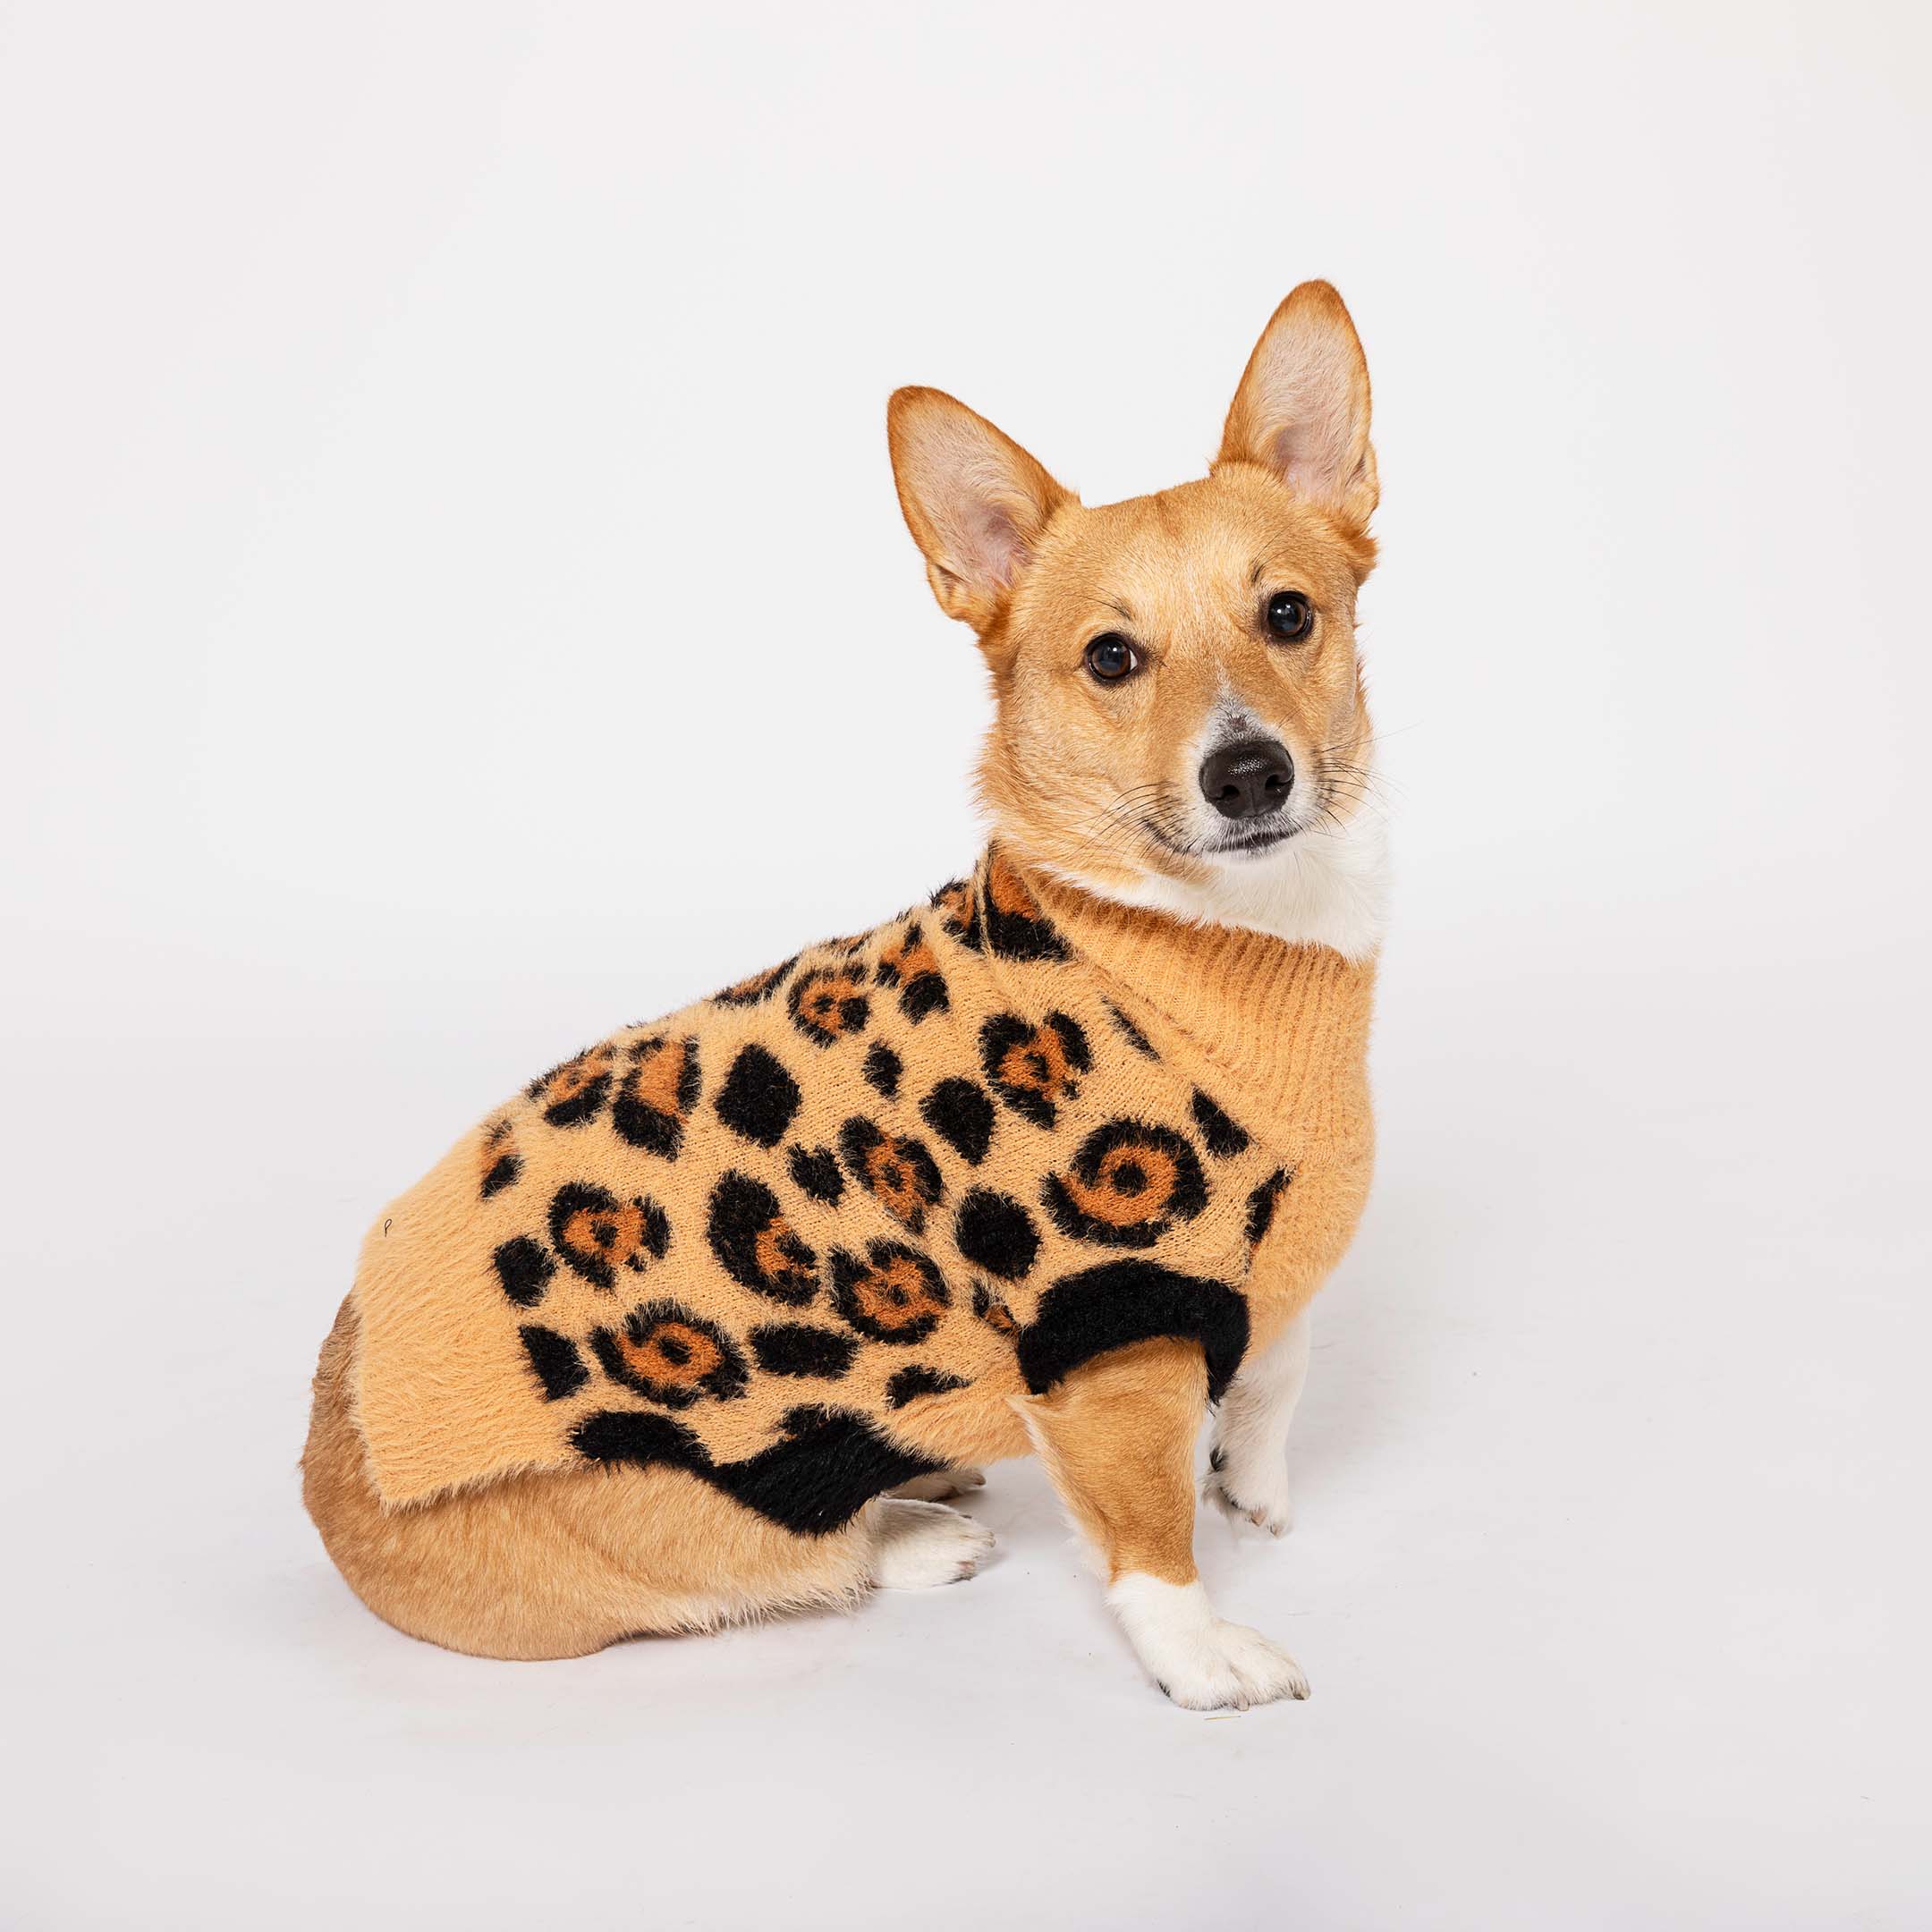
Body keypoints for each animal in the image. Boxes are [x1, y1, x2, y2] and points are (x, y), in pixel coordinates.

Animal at [305, 282, 1391, 1707]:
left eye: (1288, 616)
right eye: (1111, 658)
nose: (1251, 774)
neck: (1215, 943)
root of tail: (333, 1466)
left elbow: (1281, 1367)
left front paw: (1251, 1481)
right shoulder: (1104, 1337)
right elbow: (1150, 1531)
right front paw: (1201, 1649)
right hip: (716, 1504)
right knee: (797, 1563)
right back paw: (915, 1530)